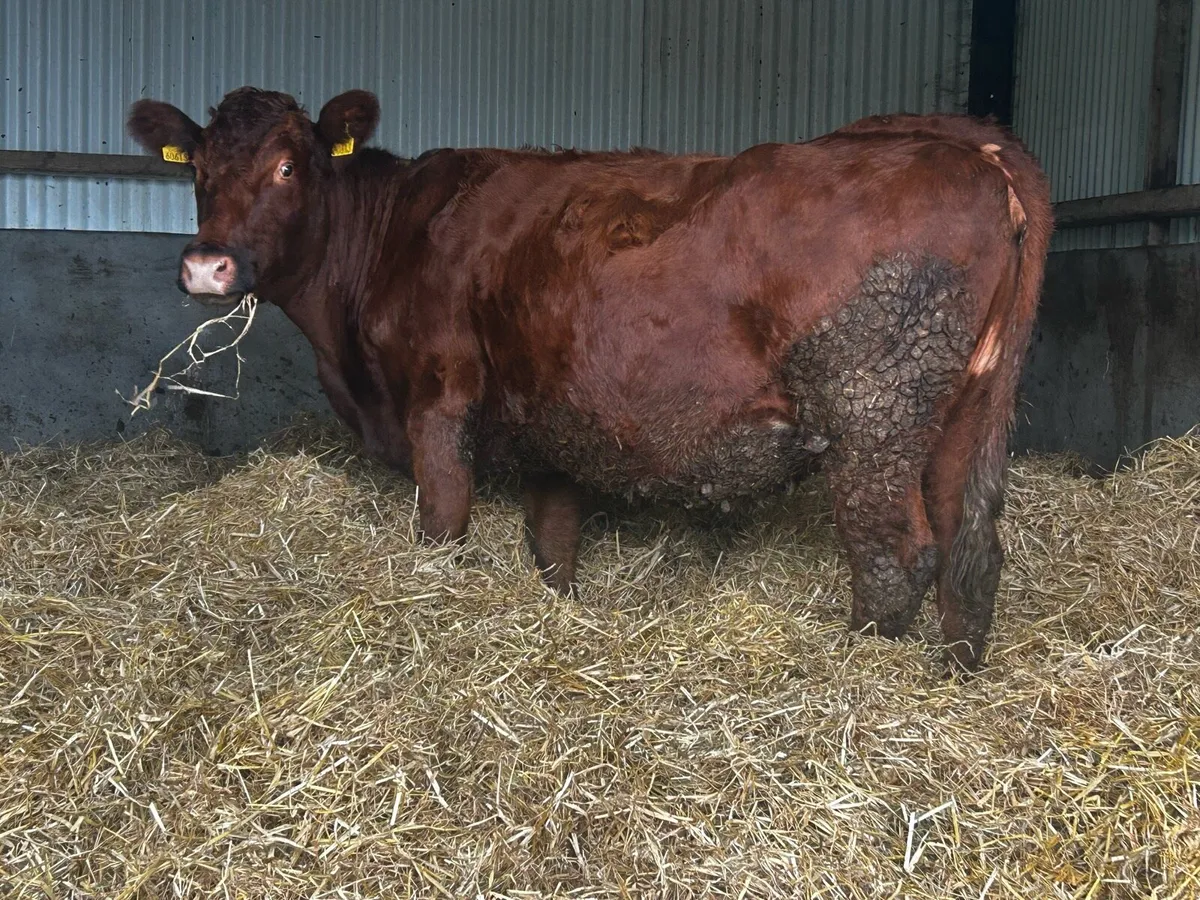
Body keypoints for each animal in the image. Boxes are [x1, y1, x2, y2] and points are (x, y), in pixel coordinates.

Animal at [126, 86, 1052, 673]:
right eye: (196, 168)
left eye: (288, 167)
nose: (208, 266)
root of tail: (963, 143)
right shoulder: (554, 427)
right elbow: (554, 550)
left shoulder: (439, 405)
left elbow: (443, 531)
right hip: (964, 415)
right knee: (971, 552)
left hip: (872, 413)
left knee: (894, 556)